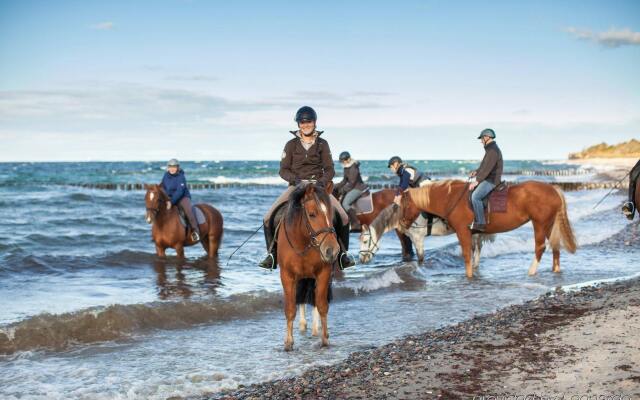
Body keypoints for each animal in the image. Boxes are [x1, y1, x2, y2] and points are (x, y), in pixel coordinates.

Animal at [278, 183, 342, 352]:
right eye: (312, 214)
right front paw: (288, 342)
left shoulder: (324, 273)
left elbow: (322, 305)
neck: (303, 241)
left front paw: (324, 339)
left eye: (331, 214)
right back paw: (303, 326)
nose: (332, 250)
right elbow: (290, 308)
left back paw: (315, 329)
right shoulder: (287, 276)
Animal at [398, 181, 576, 278]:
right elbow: (472, 253)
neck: (452, 198)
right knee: (555, 245)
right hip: (548, 224)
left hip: (539, 223)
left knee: (540, 247)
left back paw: (531, 271)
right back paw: (555, 270)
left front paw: (469, 276)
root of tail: (553, 189)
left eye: (405, 205)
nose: (403, 224)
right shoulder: (472, 234)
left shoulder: (463, 231)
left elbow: (467, 255)